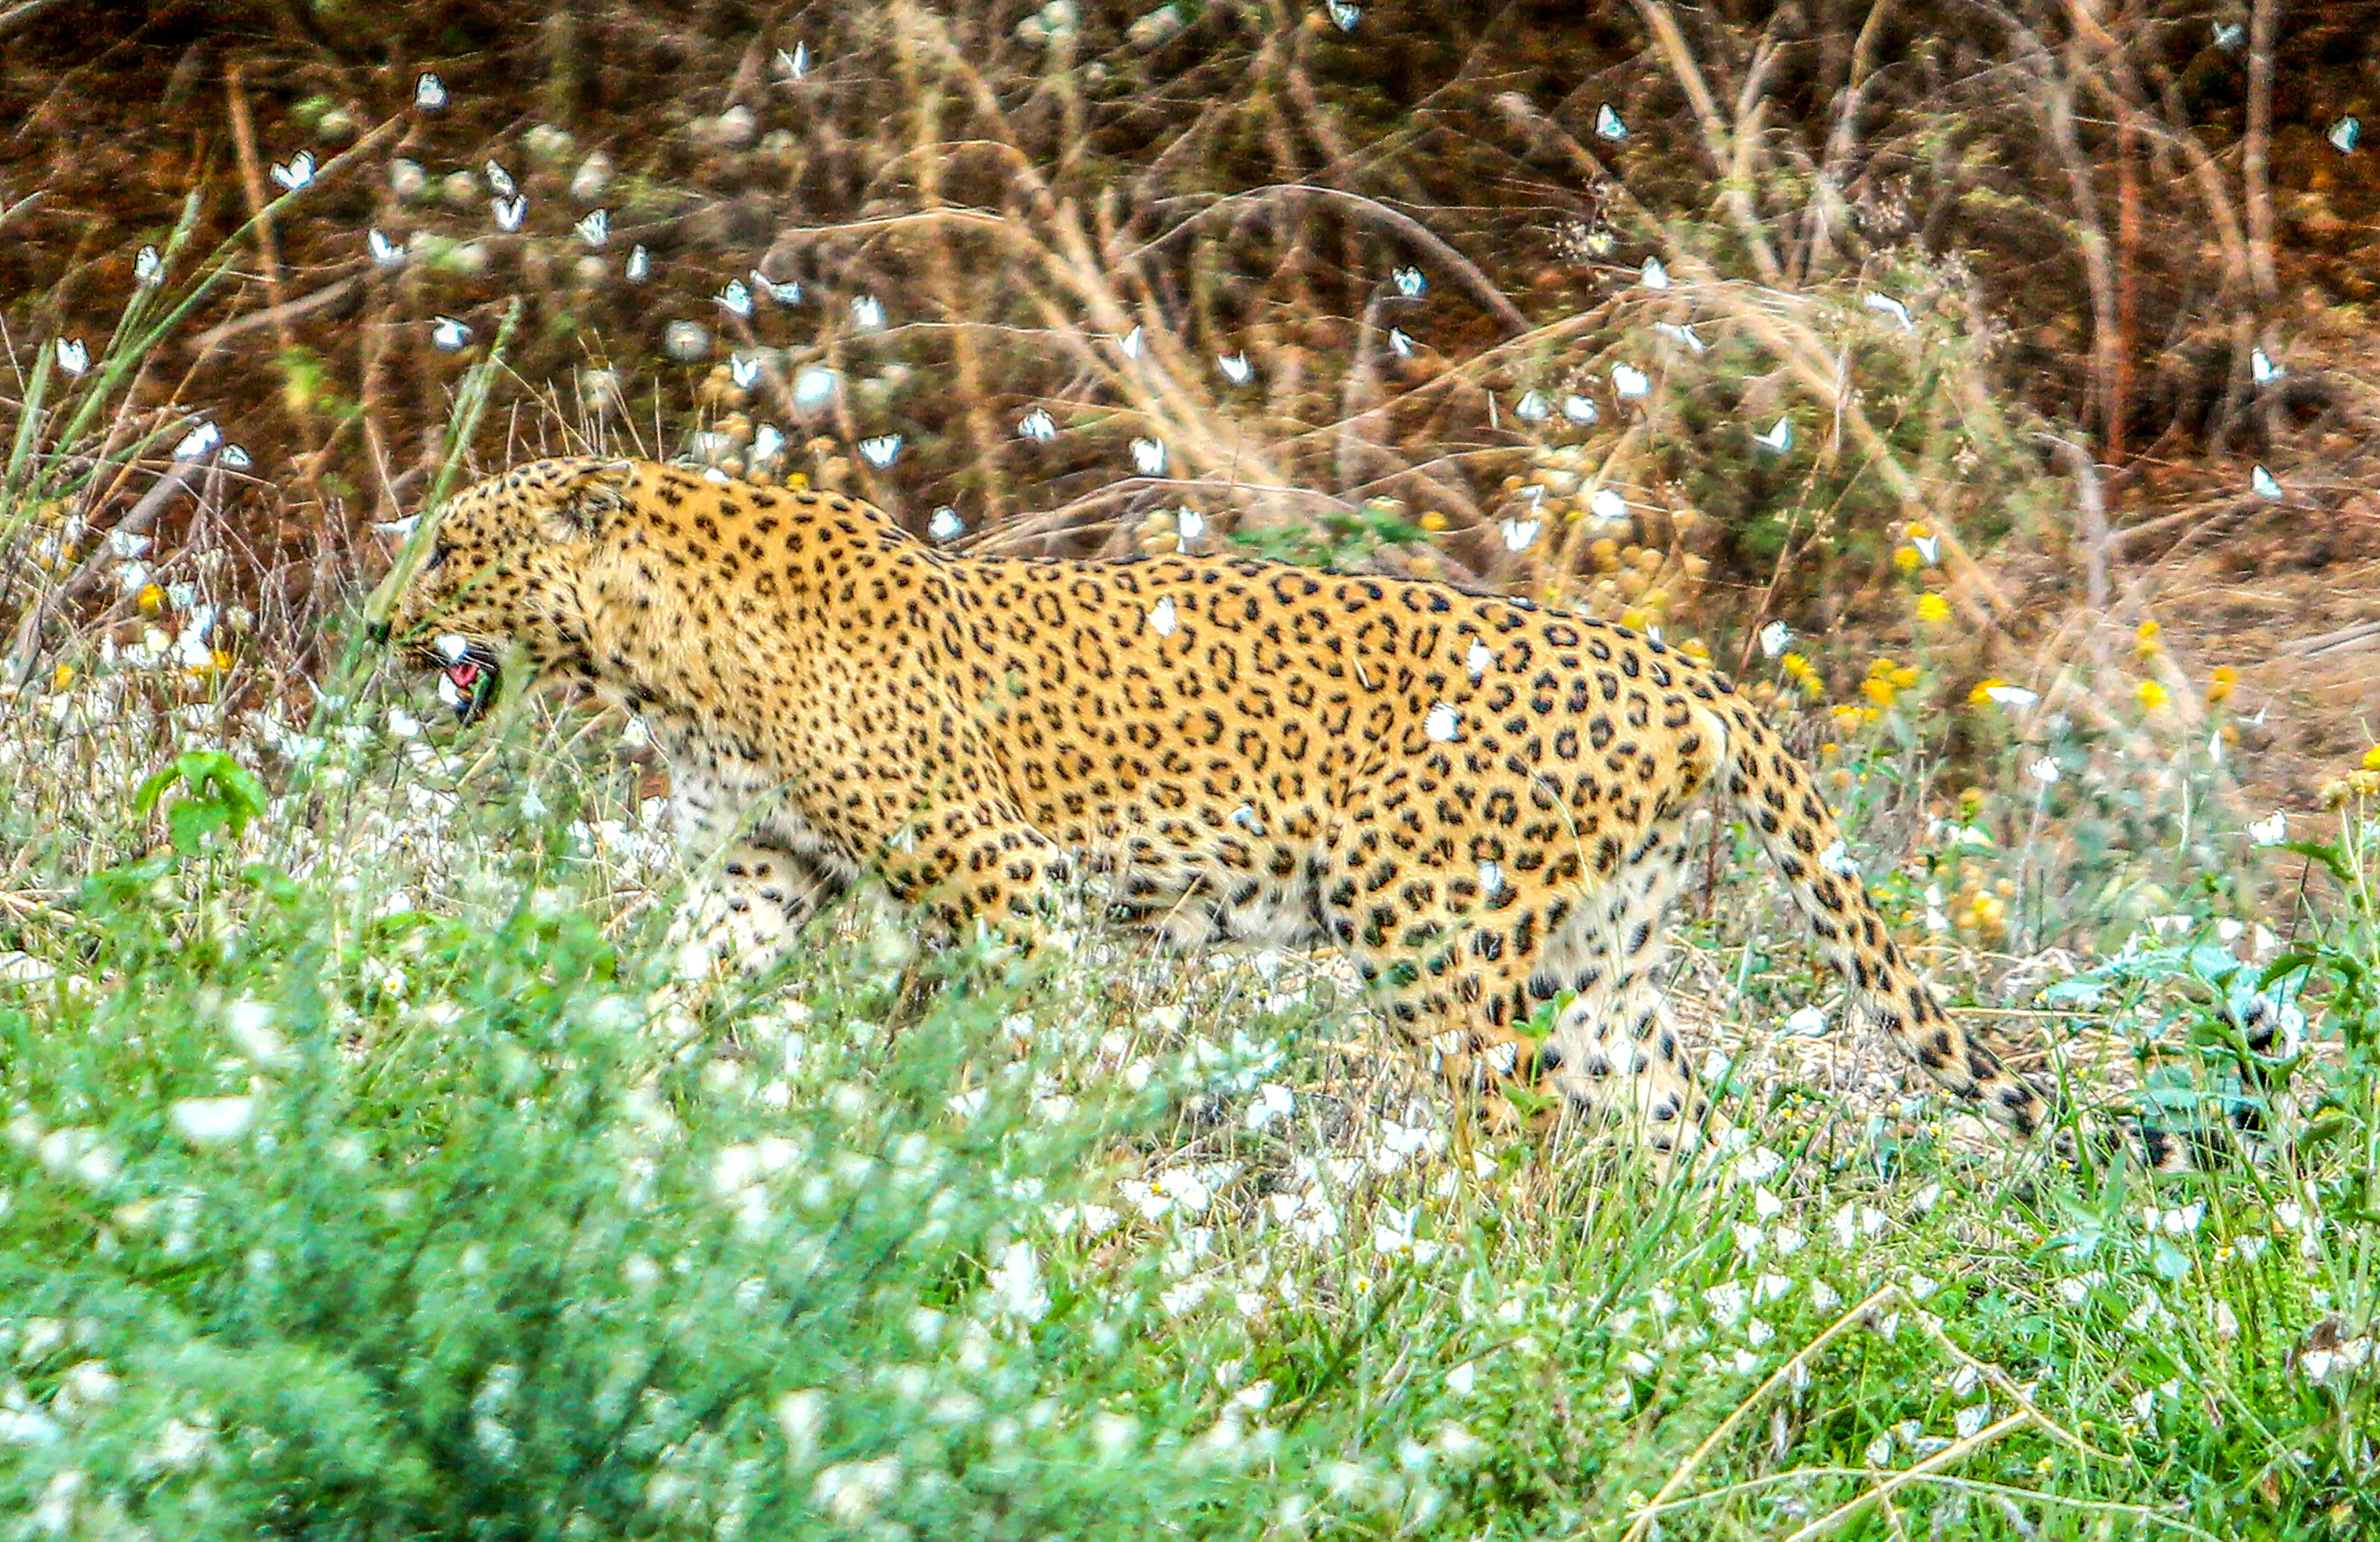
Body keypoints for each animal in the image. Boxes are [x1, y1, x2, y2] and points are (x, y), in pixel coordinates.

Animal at [374, 455, 2054, 1156]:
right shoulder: (771, 863)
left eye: (453, 546)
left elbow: (997, 1047)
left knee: (1504, 1130)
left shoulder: (1008, 882)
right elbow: (681, 979)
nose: (377, 619)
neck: (663, 651)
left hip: (1420, 917)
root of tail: (1678, 667)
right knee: (1684, 1140)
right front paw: (593, 1087)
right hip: (1602, 965)